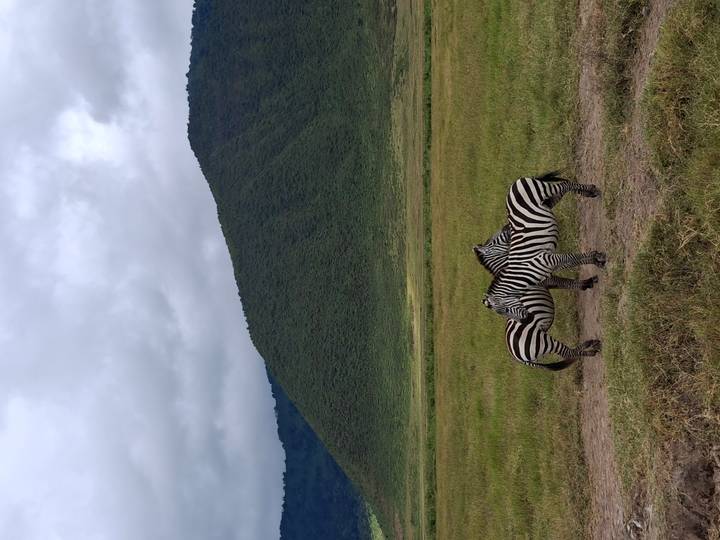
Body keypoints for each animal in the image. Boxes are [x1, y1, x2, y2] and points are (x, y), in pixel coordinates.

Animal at [474, 225, 601, 370]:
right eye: (495, 241)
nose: (507, 226)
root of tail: (517, 357)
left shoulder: (547, 279)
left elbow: (567, 276)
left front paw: (585, 282)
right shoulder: (547, 279)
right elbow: (566, 281)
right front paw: (588, 282)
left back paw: (588, 345)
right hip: (543, 342)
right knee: (567, 353)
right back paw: (592, 348)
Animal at [483, 171, 606, 322]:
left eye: (504, 310)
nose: (527, 320)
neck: (523, 272)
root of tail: (514, 185)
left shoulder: (548, 259)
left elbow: (573, 258)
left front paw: (597, 258)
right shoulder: (551, 265)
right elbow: (573, 263)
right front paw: (594, 264)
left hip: (545, 191)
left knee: (564, 185)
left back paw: (590, 190)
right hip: (547, 202)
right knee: (565, 188)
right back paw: (588, 192)